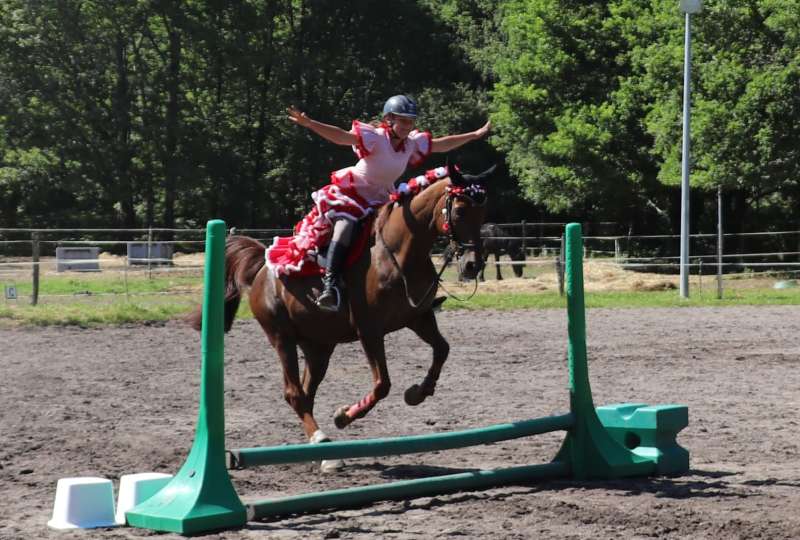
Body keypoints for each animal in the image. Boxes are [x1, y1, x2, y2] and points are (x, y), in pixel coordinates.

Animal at [194, 163, 494, 468]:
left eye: (483, 213)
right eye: (460, 210)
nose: (473, 265)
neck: (399, 253)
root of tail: (263, 269)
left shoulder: (418, 318)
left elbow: (442, 349)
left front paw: (417, 393)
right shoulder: (369, 330)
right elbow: (382, 384)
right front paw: (343, 416)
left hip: (319, 347)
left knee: (306, 392)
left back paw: (321, 452)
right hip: (282, 338)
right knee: (294, 393)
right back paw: (322, 440)